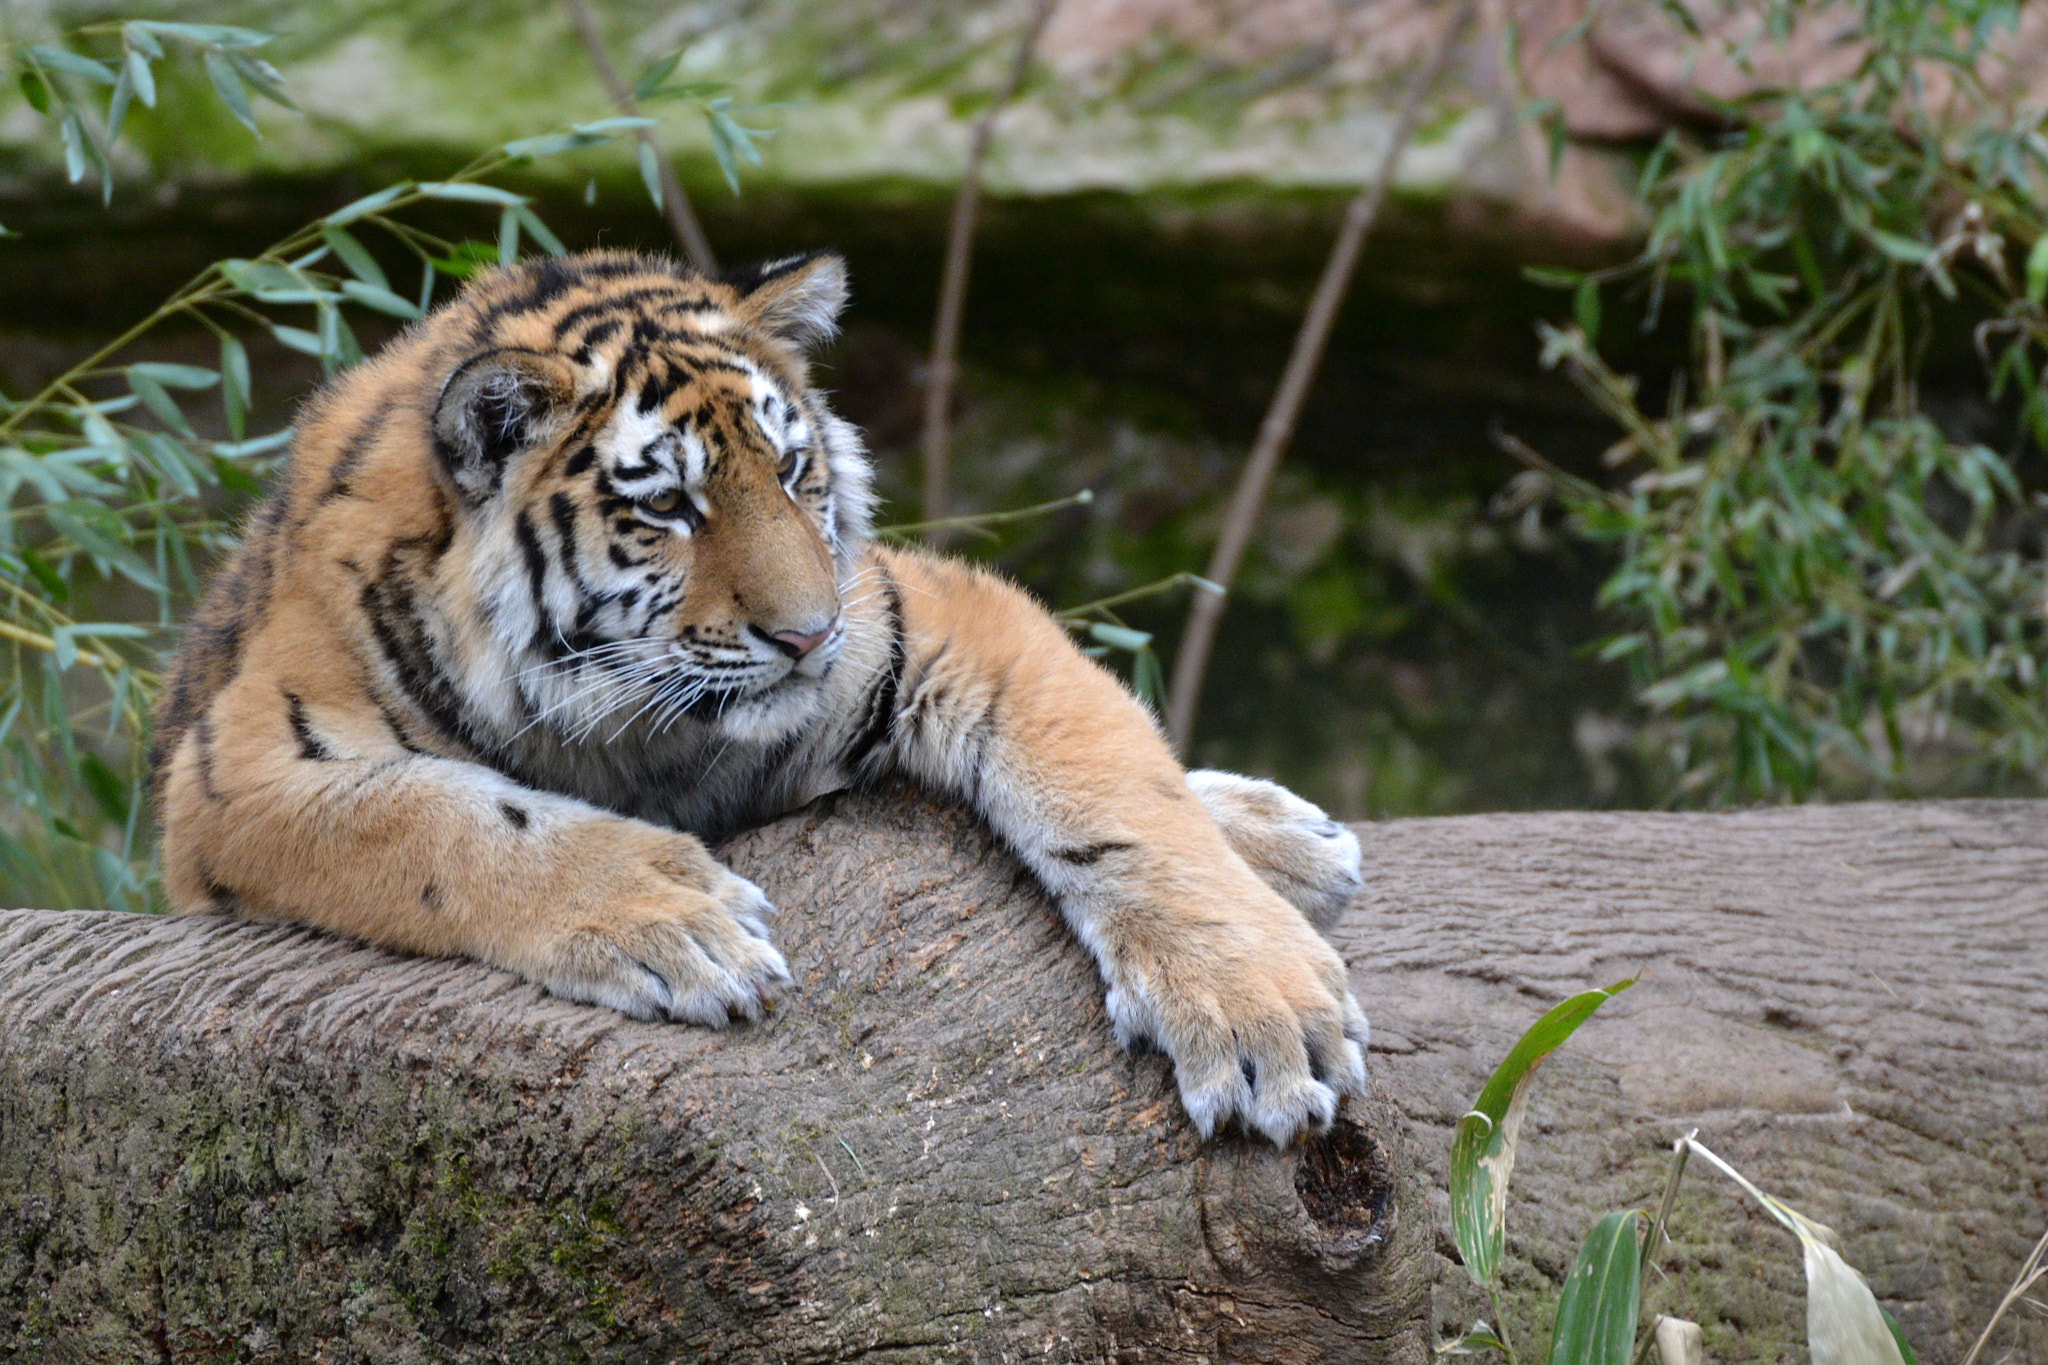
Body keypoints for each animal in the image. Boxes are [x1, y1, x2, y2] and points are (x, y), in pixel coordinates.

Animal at [150, 248, 1372, 1146]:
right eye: (670, 506)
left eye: (789, 473)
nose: (810, 634)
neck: (630, 729)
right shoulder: (235, 770)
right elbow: (444, 819)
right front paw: (672, 917)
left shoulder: (925, 614)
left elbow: (1114, 786)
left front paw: (1259, 1010)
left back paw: (1284, 834)